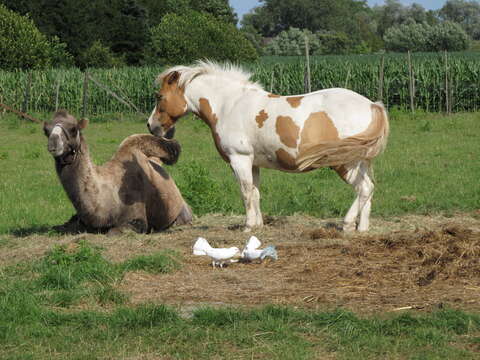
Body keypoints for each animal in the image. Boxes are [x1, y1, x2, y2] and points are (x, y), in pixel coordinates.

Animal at [43, 109, 192, 233]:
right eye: (45, 130)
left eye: (74, 129)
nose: (53, 143)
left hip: (183, 212)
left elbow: (114, 231)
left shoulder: (136, 218)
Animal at [147, 60, 390, 232]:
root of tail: (371, 105)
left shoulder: (239, 159)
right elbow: (255, 193)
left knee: (364, 189)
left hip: (345, 163)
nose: (151, 125)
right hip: (361, 162)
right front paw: (258, 225)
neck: (229, 105)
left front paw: (248, 226)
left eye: (159, 96)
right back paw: (362, 228)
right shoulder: (253, 163)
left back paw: (347, 224)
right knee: (368, 190)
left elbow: (245, 192)